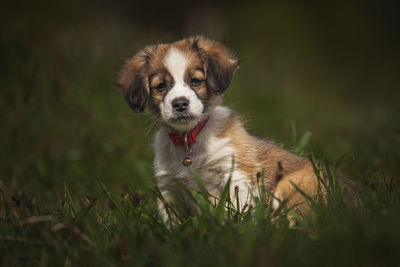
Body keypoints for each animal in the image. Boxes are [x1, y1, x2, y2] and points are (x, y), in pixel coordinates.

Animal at [118, 35, 322, 220]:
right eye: (160, 86)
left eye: (195, 81)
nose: (180, 104)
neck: (189, 140)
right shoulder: (169, 190)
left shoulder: (235, 173)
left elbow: (237, 211)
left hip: (290, 186)